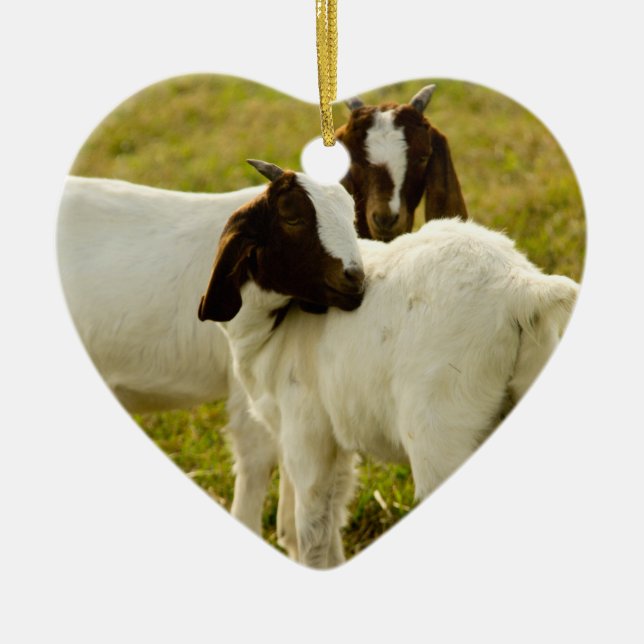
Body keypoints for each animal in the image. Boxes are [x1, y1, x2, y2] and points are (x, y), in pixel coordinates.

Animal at [198, 160, 578, 569]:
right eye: (292, 216)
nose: (355, 279)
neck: (272, 328)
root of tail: (520, 288)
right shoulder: (331, 440)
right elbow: (333, 518)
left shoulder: (306, 431)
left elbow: (313, 530)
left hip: (442, 432)